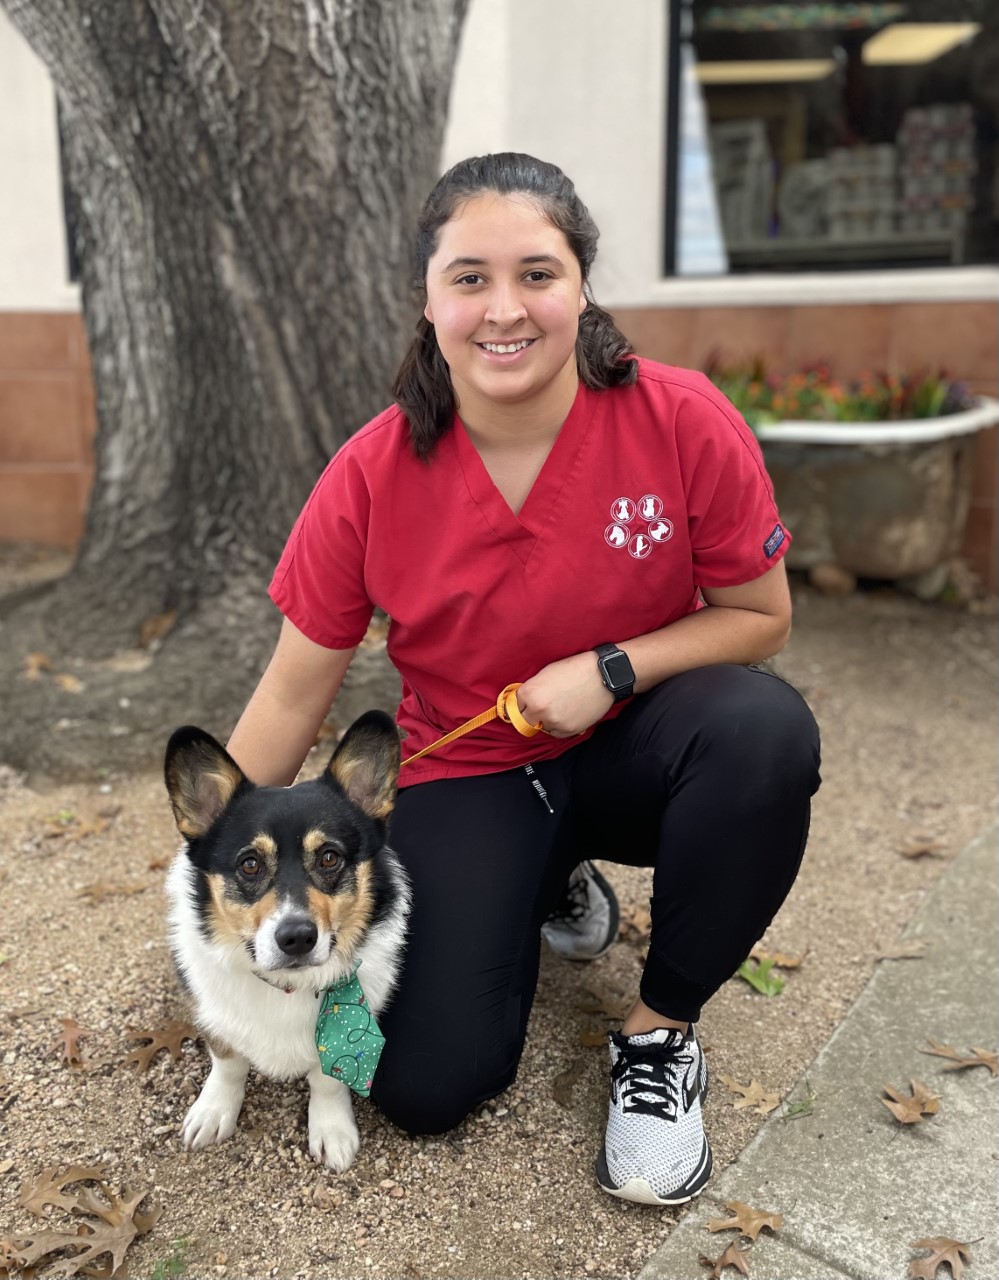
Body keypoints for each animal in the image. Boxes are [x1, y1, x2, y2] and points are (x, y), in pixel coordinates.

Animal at [163, 711, 409, 1172]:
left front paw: (332, 1131)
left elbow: (328, 1078)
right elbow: (227, 1060)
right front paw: (213, 1112)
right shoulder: (215, 1014)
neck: (287, 985)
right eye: (250, 864)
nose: (296, 938)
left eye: (329, 857)